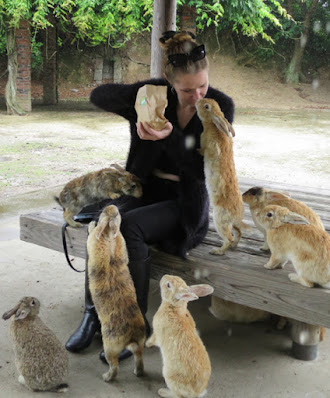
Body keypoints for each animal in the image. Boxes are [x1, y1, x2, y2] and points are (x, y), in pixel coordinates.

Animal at [196, 98, 245, 256]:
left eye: (206, 106)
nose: (198, 100)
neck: (213, 126)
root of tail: (236, 215)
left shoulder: (207, 144)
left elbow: (204, 150)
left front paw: (197, 150)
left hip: (219, 220)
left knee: (228, 238)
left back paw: (217, 251)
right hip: (231, 224)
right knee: (238, 233)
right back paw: (234, 245)